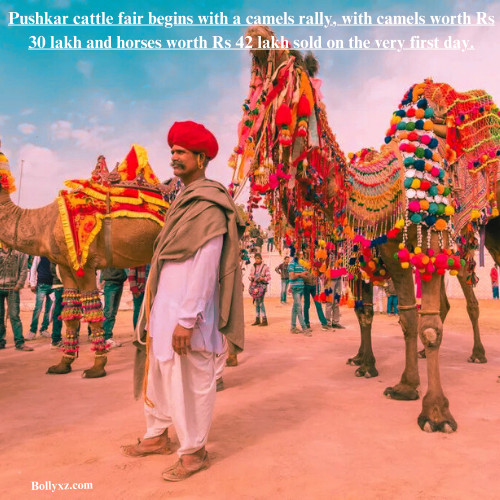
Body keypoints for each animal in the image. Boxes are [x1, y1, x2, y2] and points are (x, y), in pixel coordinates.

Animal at [0, 146, 174, 376]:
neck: (45, 223)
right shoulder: (66, 265)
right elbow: (70, 314)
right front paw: (63, 363)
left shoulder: (87, 264)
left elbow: (92, 311)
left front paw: (97, 367)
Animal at [231, 27, 500, 432]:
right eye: (255, 82)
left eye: (284, 69)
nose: (256, 34)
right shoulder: (388, 253)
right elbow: (400, 316)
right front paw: (400, 383)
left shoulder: (428, 241)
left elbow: (428, 326)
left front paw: (436, 413)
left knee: (468, 297)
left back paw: (480, 356)